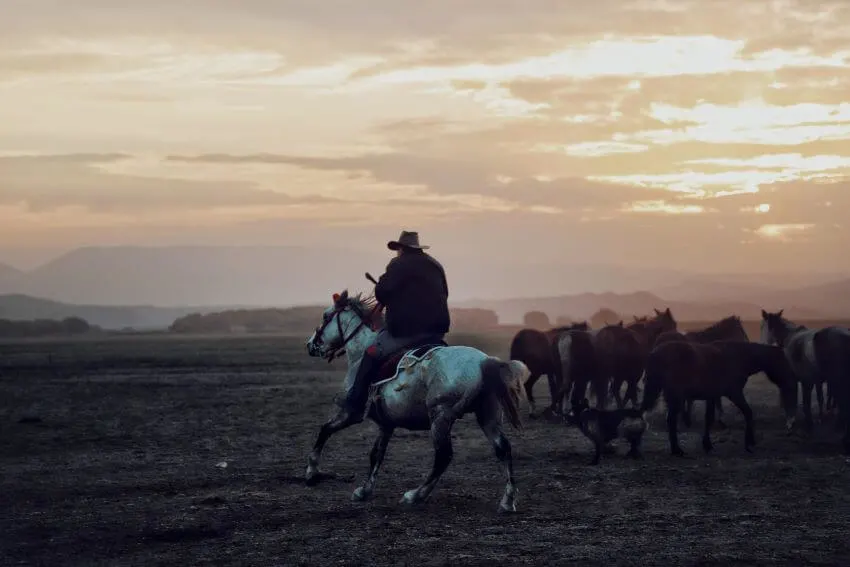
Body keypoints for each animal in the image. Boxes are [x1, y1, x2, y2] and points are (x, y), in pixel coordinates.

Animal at [640, 342, 800, 458]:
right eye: (783, 362)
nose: (792, 380)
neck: (738, 358)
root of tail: (655, 353)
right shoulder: (734, 394)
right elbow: (748, 413)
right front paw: (749, 442)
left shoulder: (712, 396)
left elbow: (709, 419)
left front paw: (708, 445)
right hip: (676, 396)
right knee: (671, 419)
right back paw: (676, 450)